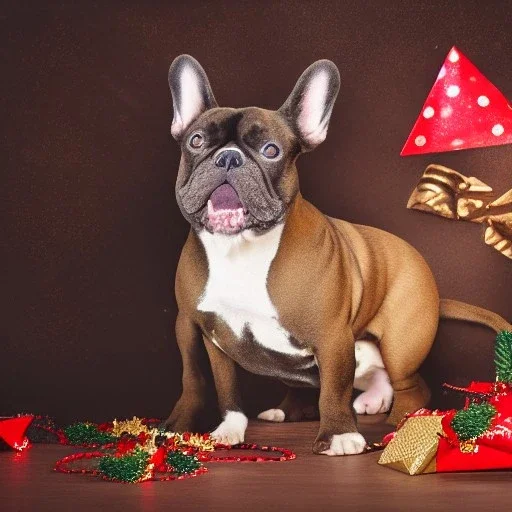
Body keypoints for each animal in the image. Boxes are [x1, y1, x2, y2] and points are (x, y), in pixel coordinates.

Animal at [165, 55, 512, 456]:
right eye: (196, 141)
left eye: (271, 150)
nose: (228, 158)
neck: (241, 248)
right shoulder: (211, 336)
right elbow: (222, 387)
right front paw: (228, 429)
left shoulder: (332, 336)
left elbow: (333, 389)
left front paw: (340, 435)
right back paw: (302, 409)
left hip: (400, 343)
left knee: (409, 384)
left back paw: (399, 421)